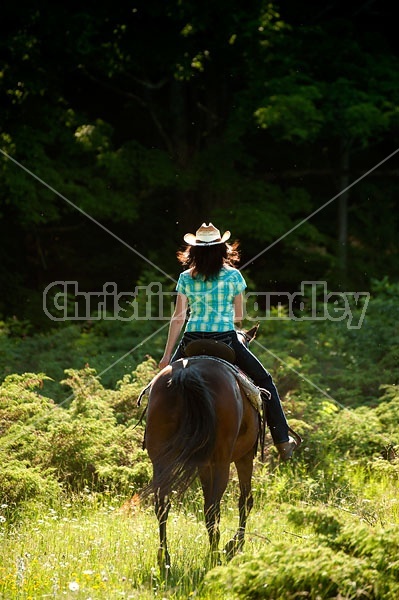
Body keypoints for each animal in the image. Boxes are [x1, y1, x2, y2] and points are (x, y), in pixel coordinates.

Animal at [145, 326, 262, 568]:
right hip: (222, 462)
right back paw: (215, 554)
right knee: (213, 508)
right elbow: (245, 500)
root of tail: (186, 374)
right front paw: (235, 545)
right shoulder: (244, 457)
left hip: (160, 459)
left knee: (162, 505)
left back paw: (164, 558)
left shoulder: (202, 464)